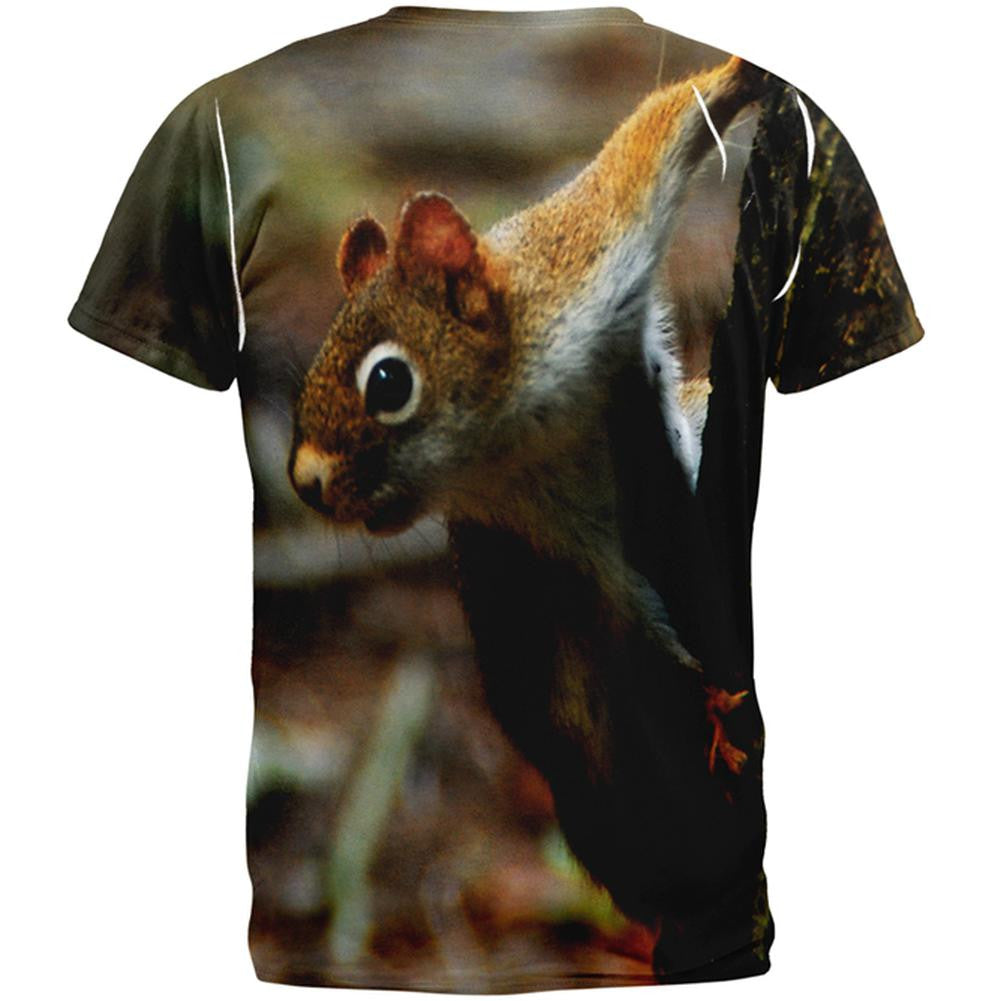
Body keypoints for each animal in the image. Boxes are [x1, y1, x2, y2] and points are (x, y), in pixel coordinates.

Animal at [288, 55, 772, 977]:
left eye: (387, 381)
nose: (304, 482)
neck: (513, 423)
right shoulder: (548, 527)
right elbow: (635, 602)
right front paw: (709, 696)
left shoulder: (591, 246)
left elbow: (660, 125)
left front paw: (746, 75)